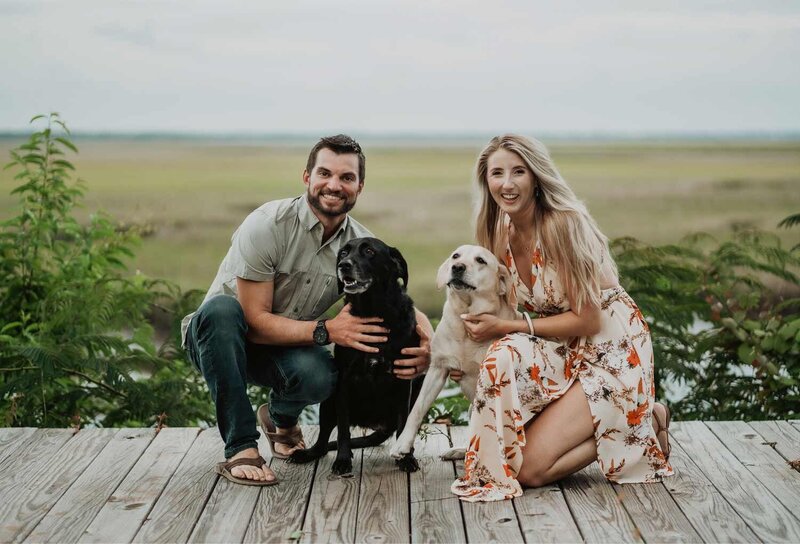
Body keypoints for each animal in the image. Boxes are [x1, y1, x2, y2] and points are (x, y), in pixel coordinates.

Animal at [290, 236, 424, 474]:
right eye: (343, 253)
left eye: (369, 251)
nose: (344, 265)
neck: (374, 310)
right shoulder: (344, 380)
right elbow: (343, 429)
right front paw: (343, 459)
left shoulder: (404, 379)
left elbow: (403, 425)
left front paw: (406, 458)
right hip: (329, 401)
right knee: (322, 442)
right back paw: (307, 453)